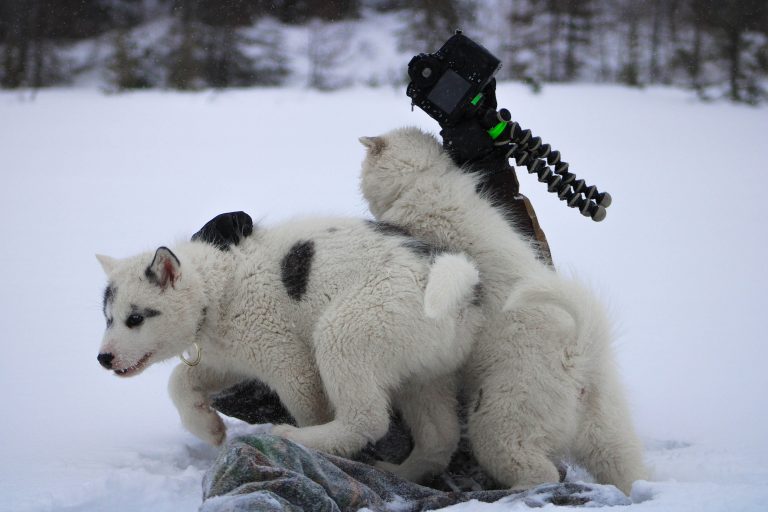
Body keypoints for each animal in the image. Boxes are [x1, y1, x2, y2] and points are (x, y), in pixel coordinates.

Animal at [94, 214, 480, 478]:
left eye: (135, 318)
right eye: (108, 318)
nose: (103, 358)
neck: (217, 288)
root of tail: (452, 281)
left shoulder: (288, 359)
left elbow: (309, 407)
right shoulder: (229, 358)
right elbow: (179, 380)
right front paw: (209, 427)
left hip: (345, 332)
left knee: (367, 420)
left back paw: (300, 439)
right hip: (426, 371)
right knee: (440, 436)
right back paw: (404, 472)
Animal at [360, 126, 648, 494]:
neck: (426, 180)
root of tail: (576, 356)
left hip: (502, 416)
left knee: (535, 469)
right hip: (608, 431)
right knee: (626, 467)